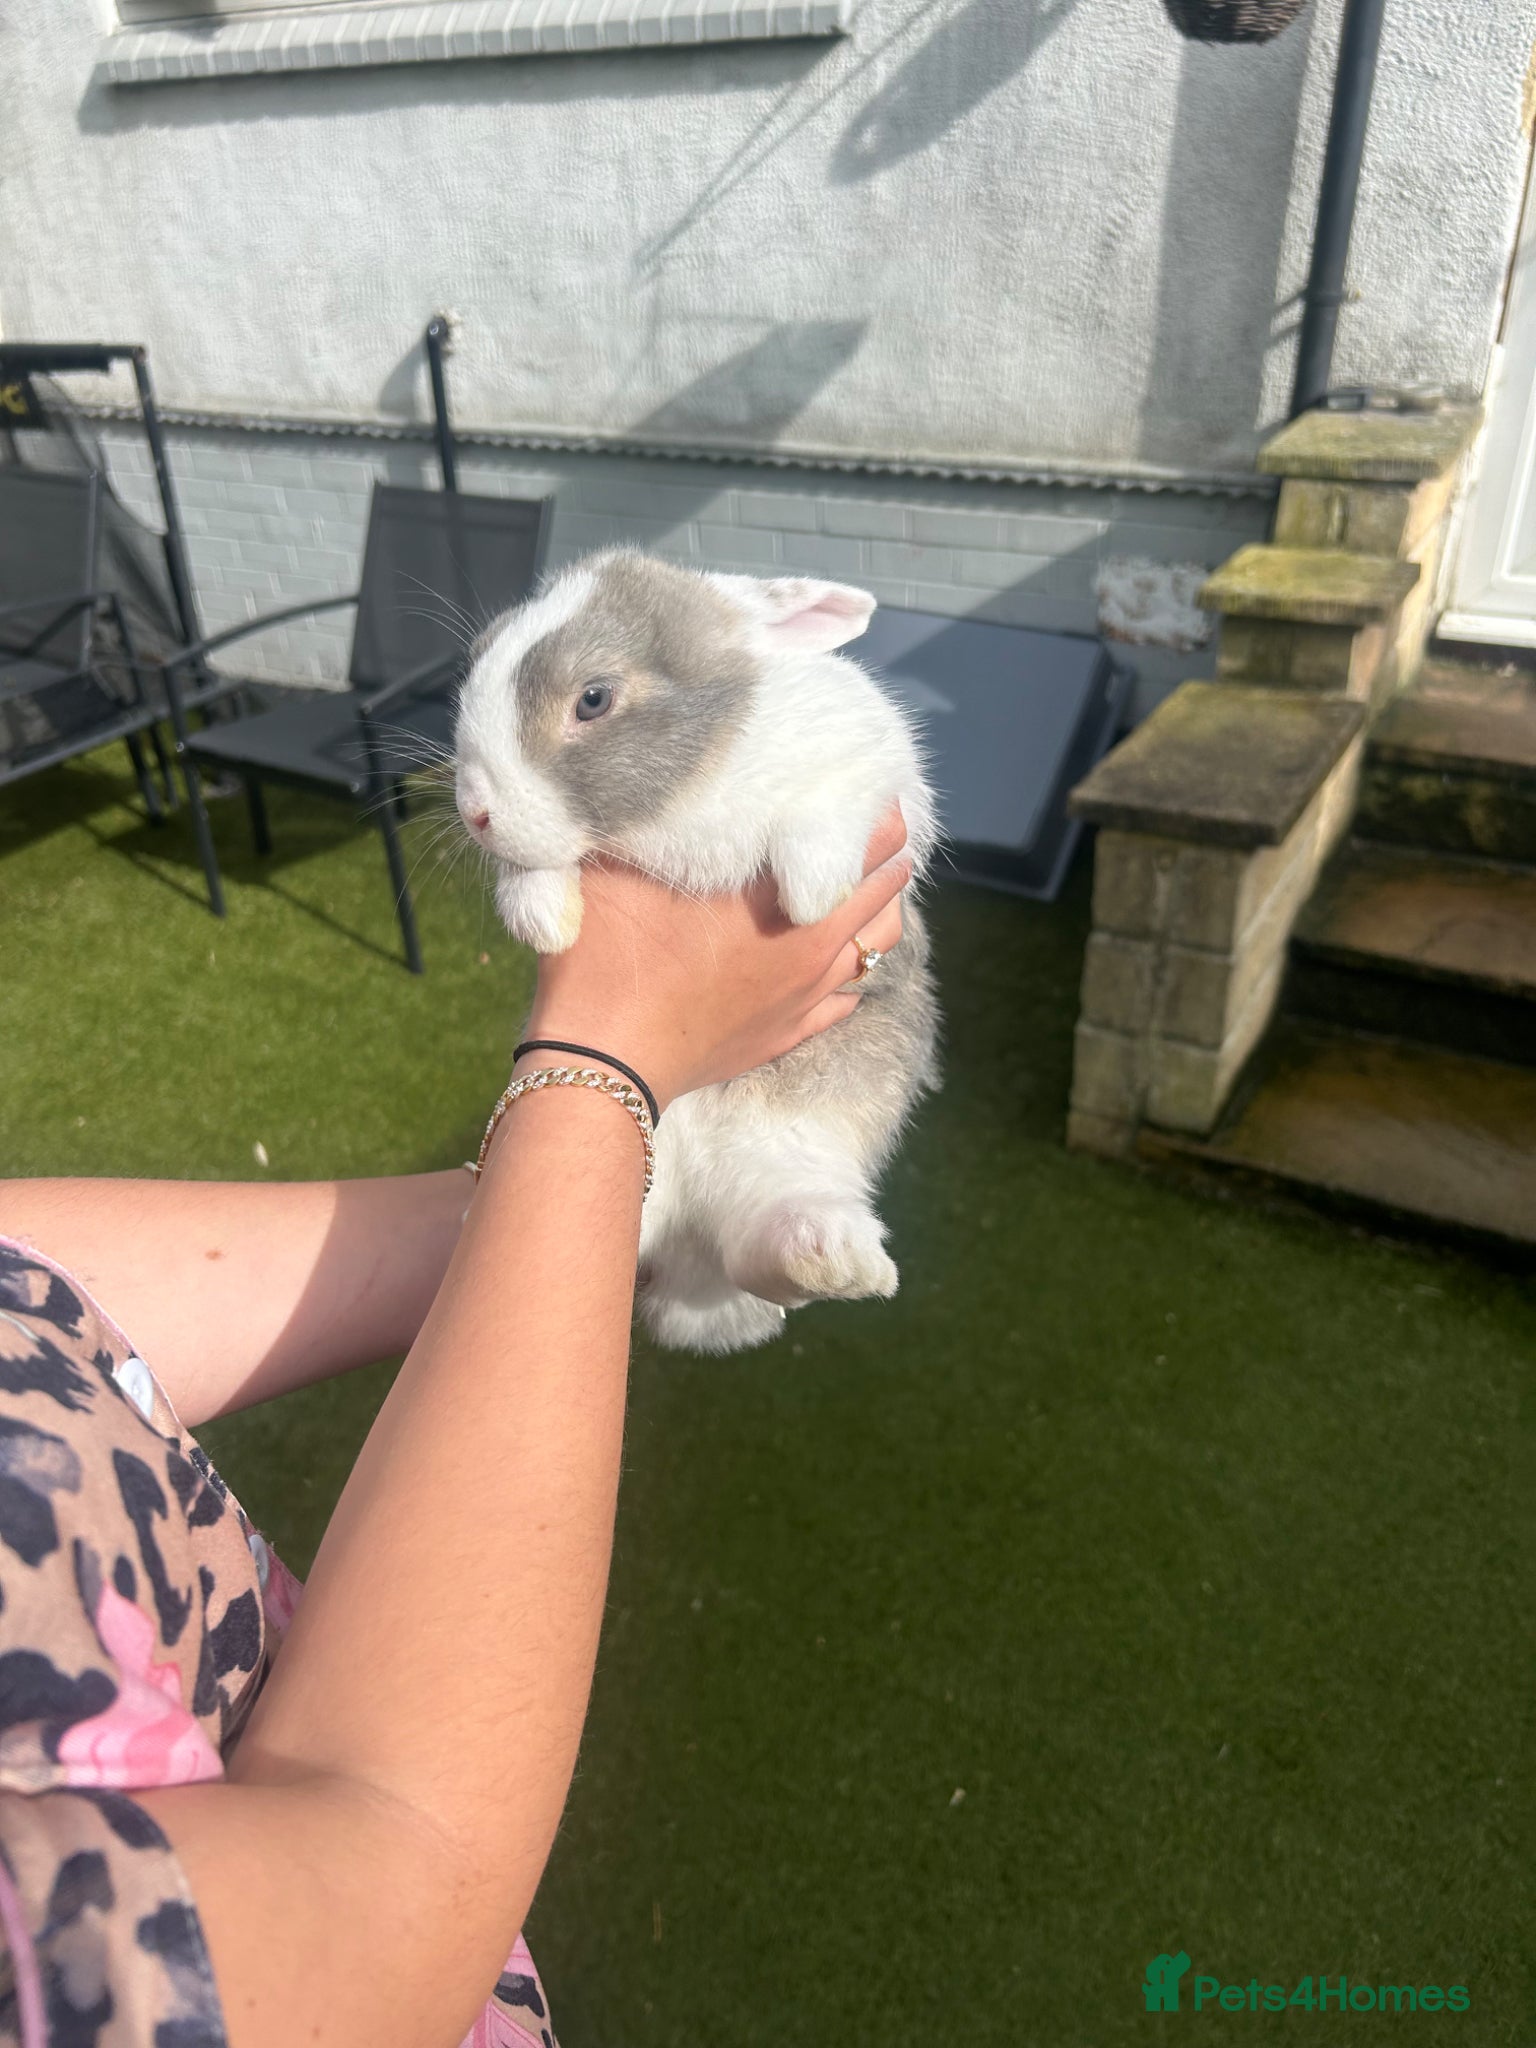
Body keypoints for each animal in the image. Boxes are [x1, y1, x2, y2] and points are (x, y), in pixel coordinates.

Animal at [453, 550, 941, 1355]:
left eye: (593, 699)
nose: (475, 812)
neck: (680, 803)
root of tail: (692, 1257)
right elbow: (533, 867)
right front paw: (545, 919)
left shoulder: (869, 761)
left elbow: (829, 811)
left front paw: (812, 896)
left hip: (799, 1146)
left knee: (766, 1248)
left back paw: (836, 1259)